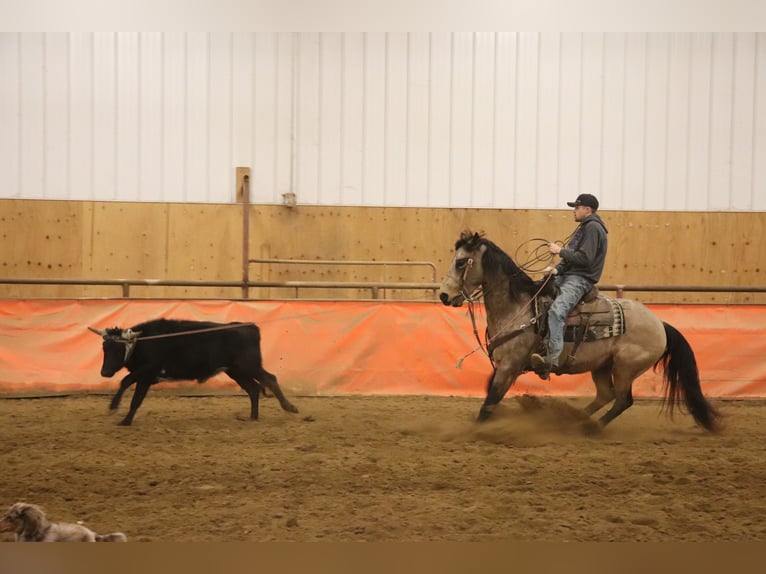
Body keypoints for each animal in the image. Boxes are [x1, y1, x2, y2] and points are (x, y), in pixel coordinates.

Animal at [440, 232, 724, 434]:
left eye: (461, 262)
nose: (444, 295)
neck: (519, 306)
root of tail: (660, 323)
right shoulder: (503, 365)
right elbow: (491, 395)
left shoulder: (510, 365)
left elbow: (489, 402)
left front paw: (474, 431)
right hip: (602, 366)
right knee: (606, 395)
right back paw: (572, 421)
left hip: (626, 367)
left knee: (622, 400)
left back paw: (589, 427)